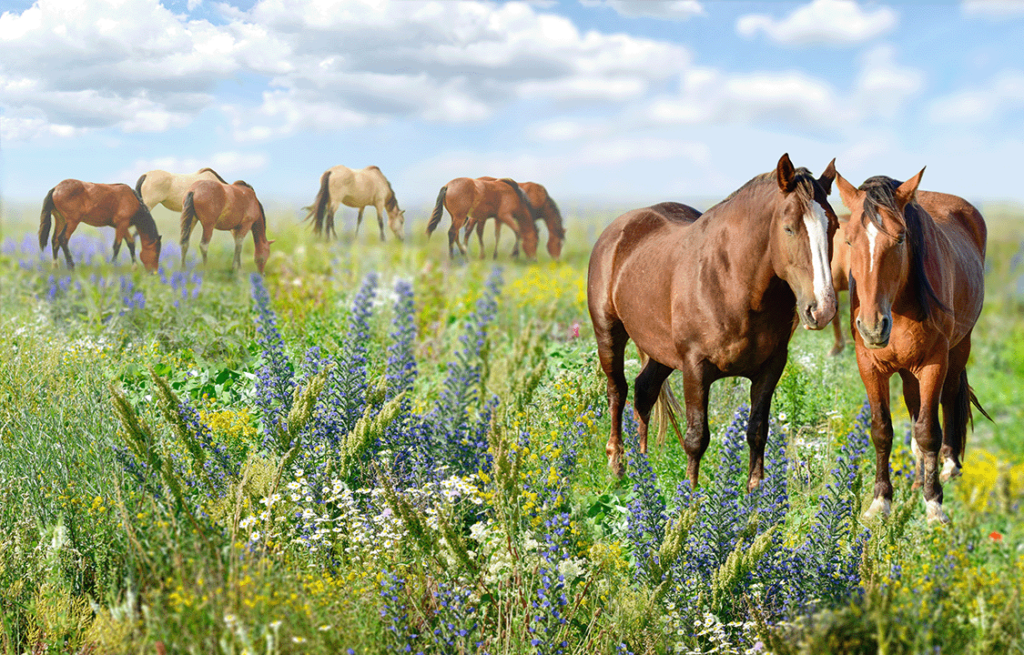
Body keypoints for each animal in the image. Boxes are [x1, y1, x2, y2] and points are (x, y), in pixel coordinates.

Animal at [589, 154, 835, 491]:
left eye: (835, 226)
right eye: (789, 228)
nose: (822, 309)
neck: (734, 283)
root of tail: (618, 229)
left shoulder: (771, 368)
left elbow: (757, 431)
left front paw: (755, 495)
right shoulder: (695, 367)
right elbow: (696, 438)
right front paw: (691, 498)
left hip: (660, 351)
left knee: (644, 392)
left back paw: (643, 467)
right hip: (609, 334)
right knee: (618, 392)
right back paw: (618, 466)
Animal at [835, 167, 987, 521]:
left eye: (901, 238)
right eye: (849, 241)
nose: (872, 326)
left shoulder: (934, 363)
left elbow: (929, 431)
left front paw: (934, 504)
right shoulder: (870, 366)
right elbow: (882, 430)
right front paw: (881, 500)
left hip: (959, 349)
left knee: (948, 399)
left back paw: (947, 467)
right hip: (907, 371)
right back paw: (917, 479)